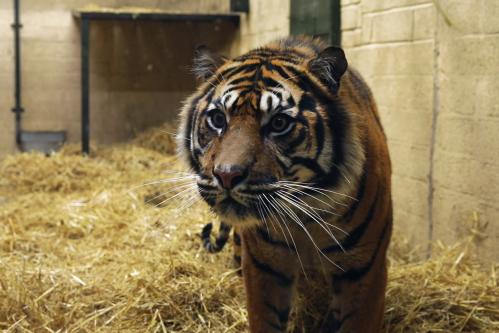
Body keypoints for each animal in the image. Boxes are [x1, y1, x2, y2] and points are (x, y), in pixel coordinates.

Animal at [178, 35, 392, 330]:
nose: (226, 175)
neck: (305, 218)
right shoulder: (265, 266)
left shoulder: (363, 269)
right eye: (218, 119)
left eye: (279, 123)